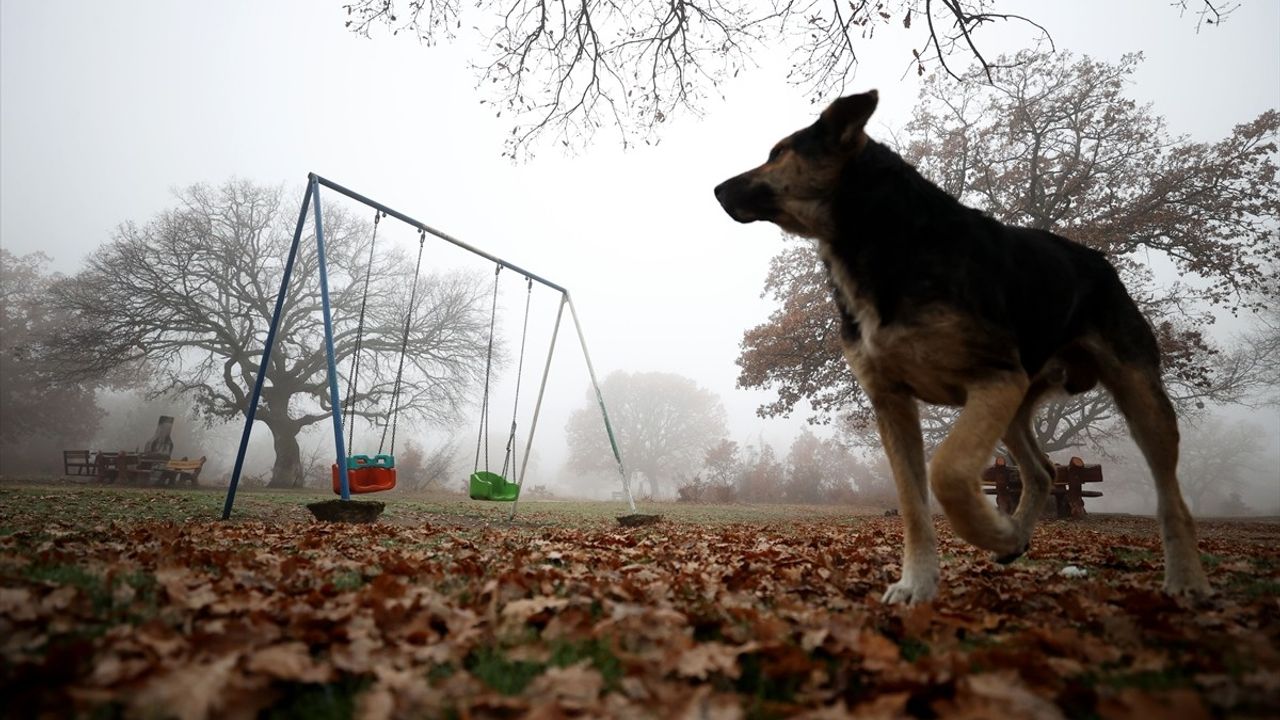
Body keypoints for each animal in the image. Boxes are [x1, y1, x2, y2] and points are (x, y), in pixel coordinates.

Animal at [721, 90, 1208, 604]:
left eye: (778, 153)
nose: (716, 189)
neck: (884, 236)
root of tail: (1099, 261)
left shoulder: (988, 381)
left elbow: (948, 473)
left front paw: (990, 531)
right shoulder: (894, 401)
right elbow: (913, 502)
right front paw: (919, 581)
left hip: (1133, 395)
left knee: (1170, 497)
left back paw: (1186, 580)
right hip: (1015, 402)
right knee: (1043, 471)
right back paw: (1017, 537)